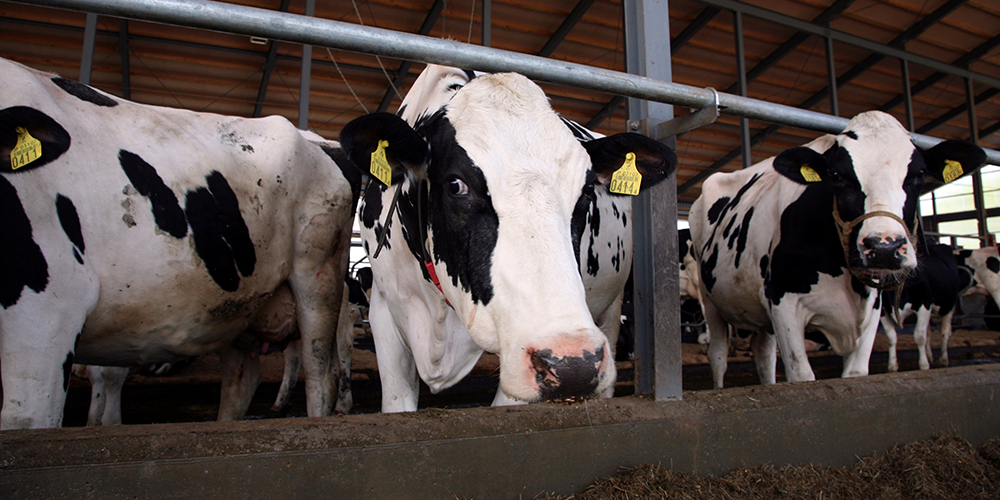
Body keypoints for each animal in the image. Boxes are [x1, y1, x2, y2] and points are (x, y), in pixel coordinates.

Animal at [0, 56, 360, 428]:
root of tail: (316, 140)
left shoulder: (53, 307)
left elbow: (26, 417)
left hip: (317, 280)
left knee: (320, 377)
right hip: (243, 301)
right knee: (242, 380)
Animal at [692, 111, 980, 388]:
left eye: (919, 174)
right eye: (836, 175)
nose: (884, 247)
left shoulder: (872, 311)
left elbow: (855, 373)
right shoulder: (784, 305)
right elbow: (802, 375)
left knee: (763, 354)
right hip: (711, 301)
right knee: (718, 356)